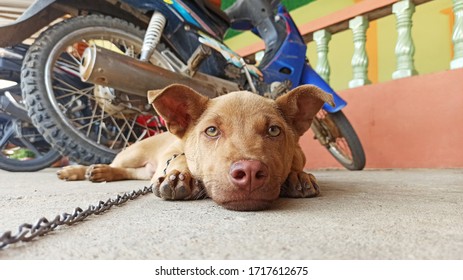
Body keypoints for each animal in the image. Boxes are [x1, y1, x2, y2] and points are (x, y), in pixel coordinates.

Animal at [59, 83, 334, 210]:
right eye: (211, 131)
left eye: (274, 130)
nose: (249, 173)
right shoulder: (174, 154)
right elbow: (180, 160)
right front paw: (180, 177)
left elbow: (296, 166)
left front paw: (297, 176)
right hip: (132, 153)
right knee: (116, 163)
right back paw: (81, 170)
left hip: (141, 170)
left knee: (131, 173)